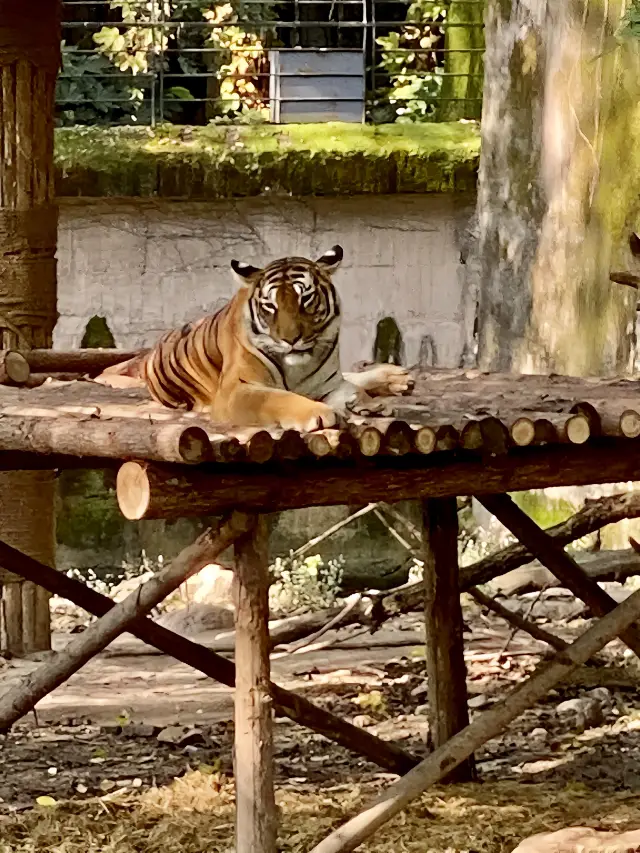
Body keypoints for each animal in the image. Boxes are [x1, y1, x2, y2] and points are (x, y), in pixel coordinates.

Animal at [98, 245, 412, 432]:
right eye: (270, 306)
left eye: (306, 299)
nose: (290, 339)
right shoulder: (237, 389)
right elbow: (279, 398)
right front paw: (321, 412)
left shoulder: (330, 381)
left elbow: (351, 388)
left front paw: (371, 404)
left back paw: (397, 379)